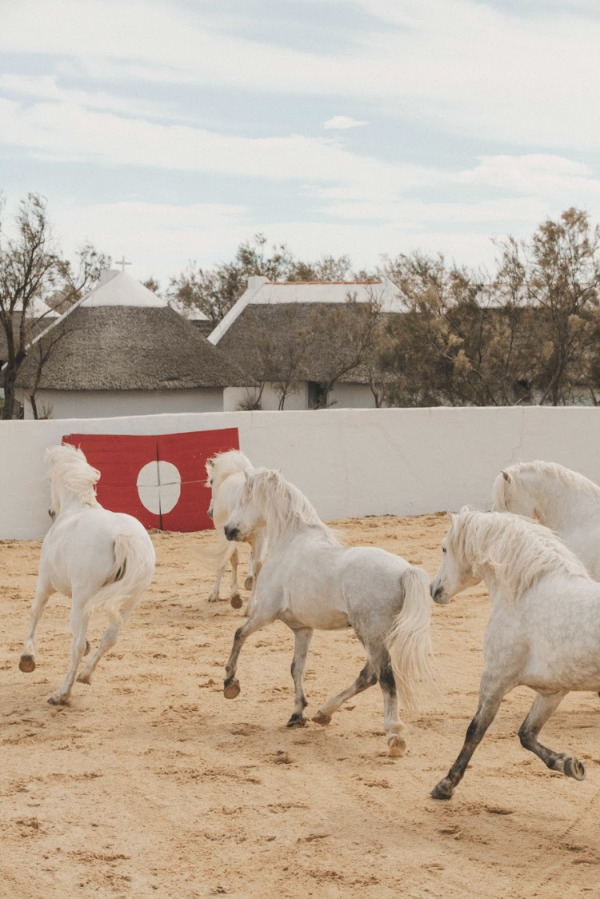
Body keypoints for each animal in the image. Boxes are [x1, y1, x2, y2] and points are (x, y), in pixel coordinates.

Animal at [19, 444, 155, 706]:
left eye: (50, 480)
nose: (51, 511)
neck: (76, 508)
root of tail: (122, 537)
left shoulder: (45, 582)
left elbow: (35, 611)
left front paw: (27, 658)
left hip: (83, 597)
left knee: (78, 645)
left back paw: (62, 694)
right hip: (130, 600)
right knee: (110, 637)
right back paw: (85, 674)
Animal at [205, 450, 266, 613]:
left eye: (211, 481)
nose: (210, 512)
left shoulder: (225, 535)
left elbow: (227, 560)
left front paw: (225, 594)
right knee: (258, 564)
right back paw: (251, 606)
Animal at [221, 468, 435, 756]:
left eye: (244, 499)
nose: (228, 529)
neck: (289, 542)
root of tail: (405, 571)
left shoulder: (265, 612)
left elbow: (239, 634)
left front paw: (230, 684)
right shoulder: (302, 628)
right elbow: (297, 668)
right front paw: (297, 714)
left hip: (371, 634)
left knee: (384, 677)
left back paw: (394, 735)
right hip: (379, 636)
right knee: (368, 675)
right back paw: (324, 713)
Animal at [430, 508, 600, 800]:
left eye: (443, 548)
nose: (434, 589)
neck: (527, 593)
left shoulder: (495, 679)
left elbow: (475, 730)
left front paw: (446, 784)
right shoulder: (552, 692)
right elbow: (527, 734)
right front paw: (570, 765)